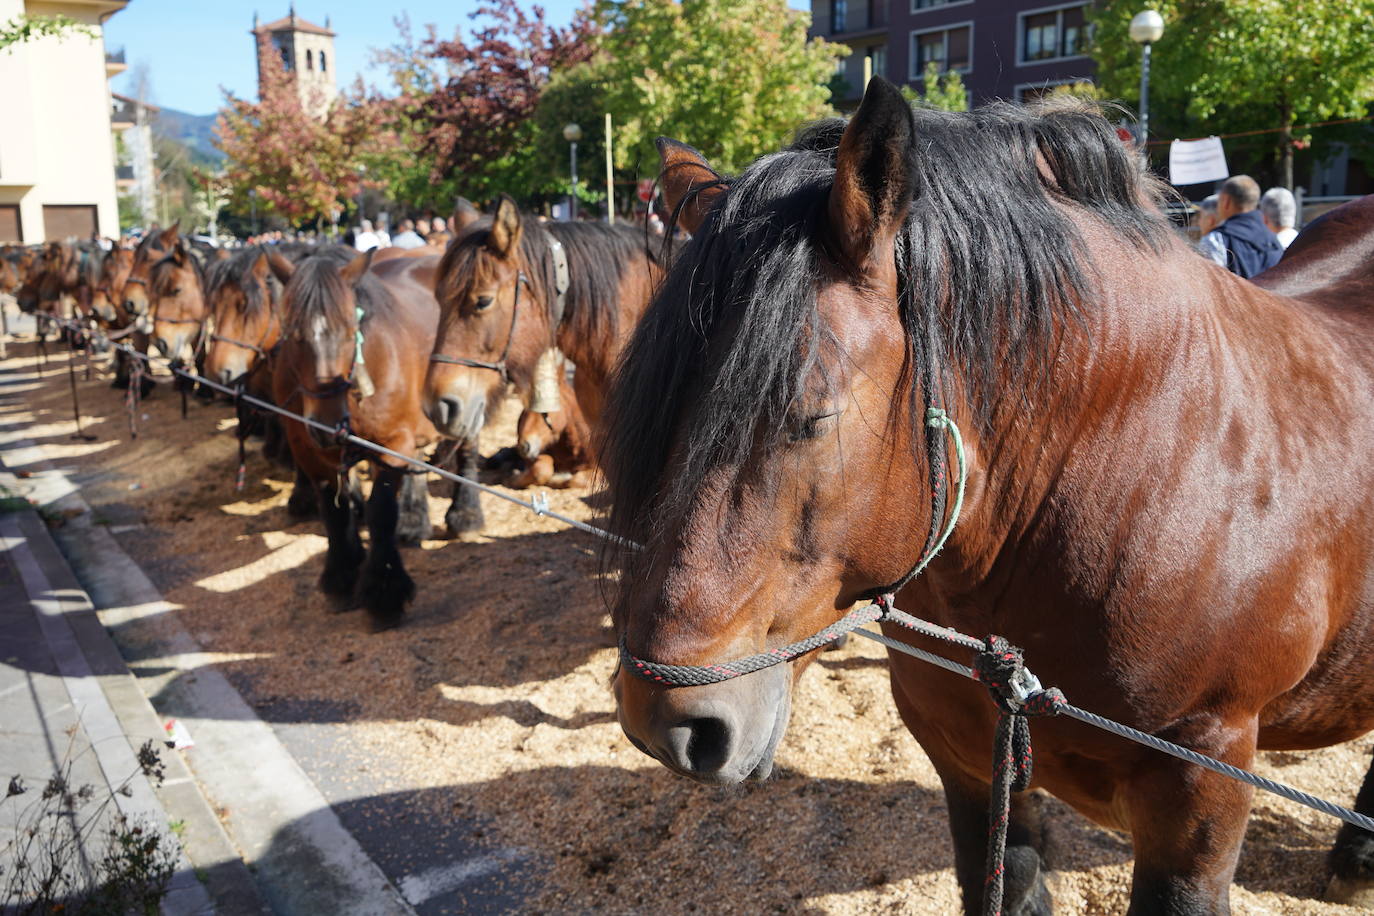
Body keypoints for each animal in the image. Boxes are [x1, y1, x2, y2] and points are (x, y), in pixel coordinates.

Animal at [270, 247, 475, 626]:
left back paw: (466, 515)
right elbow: (334, 510)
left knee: (468, 447)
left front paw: (384, 593)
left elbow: (381, 511)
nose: (326, 422)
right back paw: (414, 521)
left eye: (352, 329)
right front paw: (342, 576)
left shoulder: (392, 446)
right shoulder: (308, 449)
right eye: (291, 332)